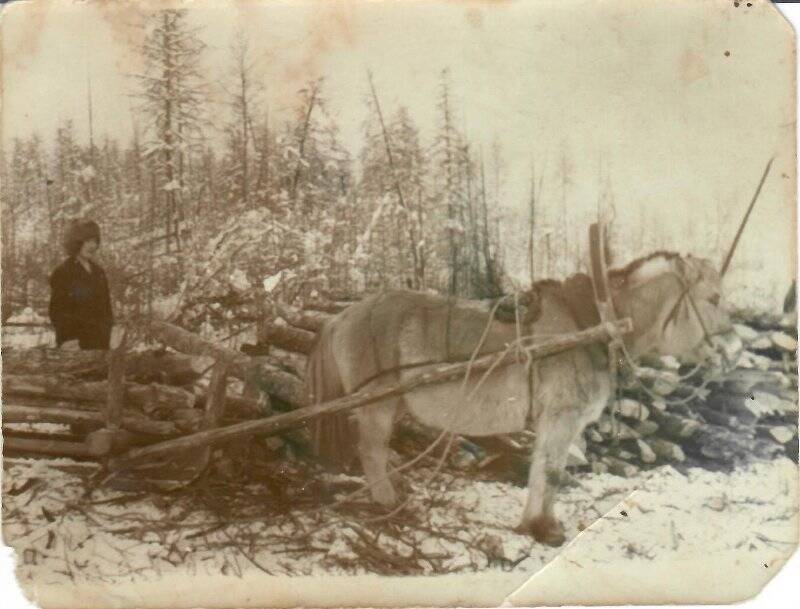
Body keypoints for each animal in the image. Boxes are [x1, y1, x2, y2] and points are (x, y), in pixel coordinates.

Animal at [306, 249, 732, 544]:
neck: (592, 324)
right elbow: (552, 471)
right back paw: (386, 503)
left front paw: (536, 523)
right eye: (713, 298)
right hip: (375, 402)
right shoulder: (561, 417)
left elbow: (542, 467)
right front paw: (544, 530)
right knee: (371, 450)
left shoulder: (556, 422)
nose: (725, 356)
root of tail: (343, 315)